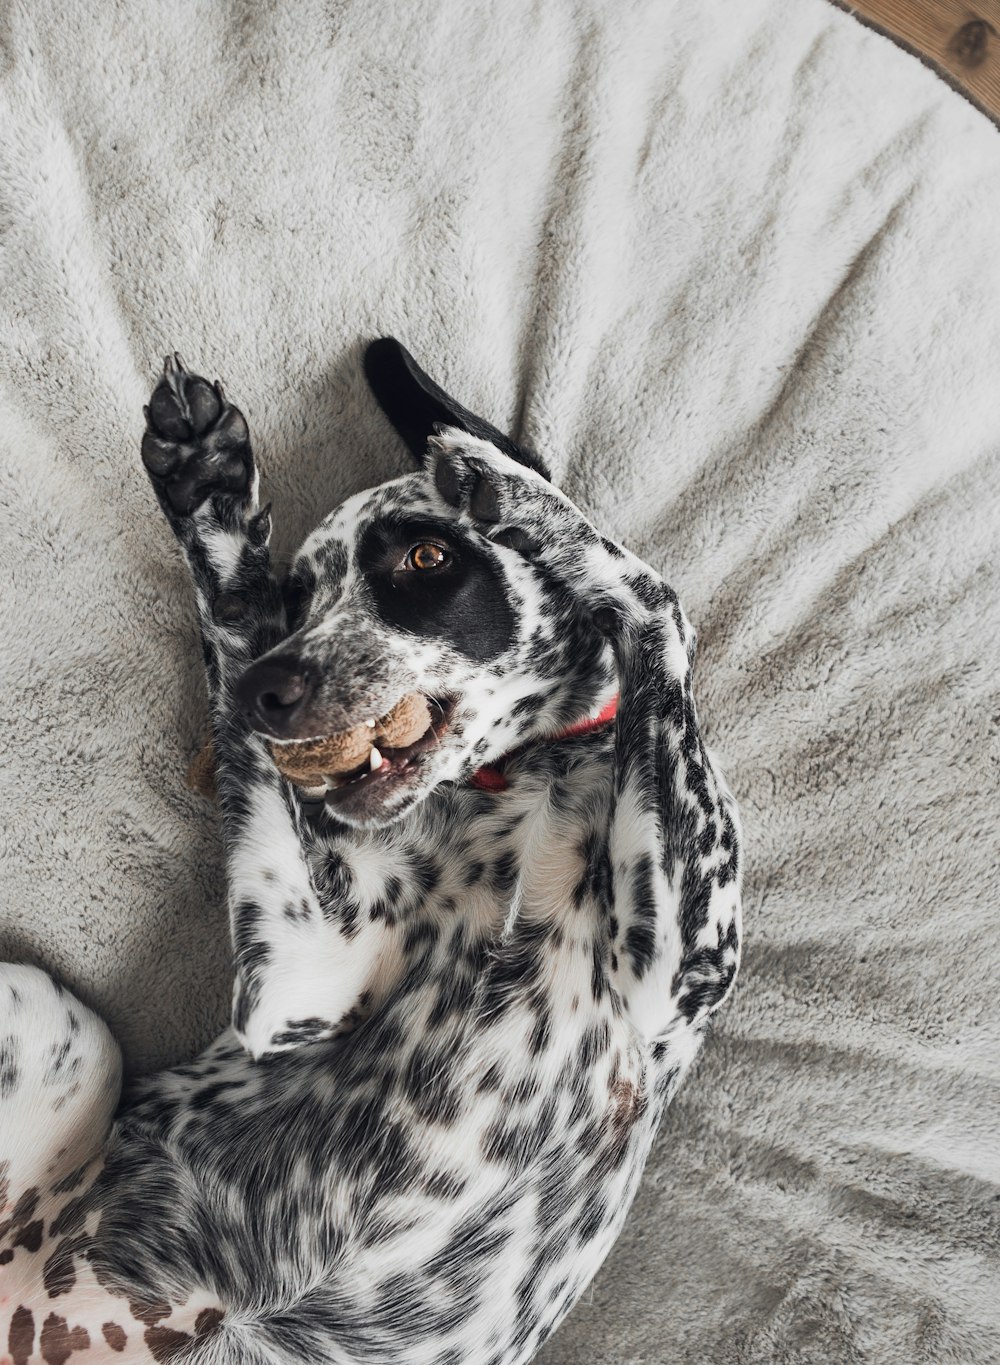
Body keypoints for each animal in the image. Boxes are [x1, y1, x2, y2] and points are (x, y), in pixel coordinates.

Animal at [1, 333, 742, 1365]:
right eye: (299, 599)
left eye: (426, 556)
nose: (266, 692)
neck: (523, 784)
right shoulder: (300, 982)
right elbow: (230, 620)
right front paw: (208, 492)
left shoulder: (684, 958)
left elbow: (654, 595)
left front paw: (518, 495)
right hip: (51, 1009)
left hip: (66, 1024)